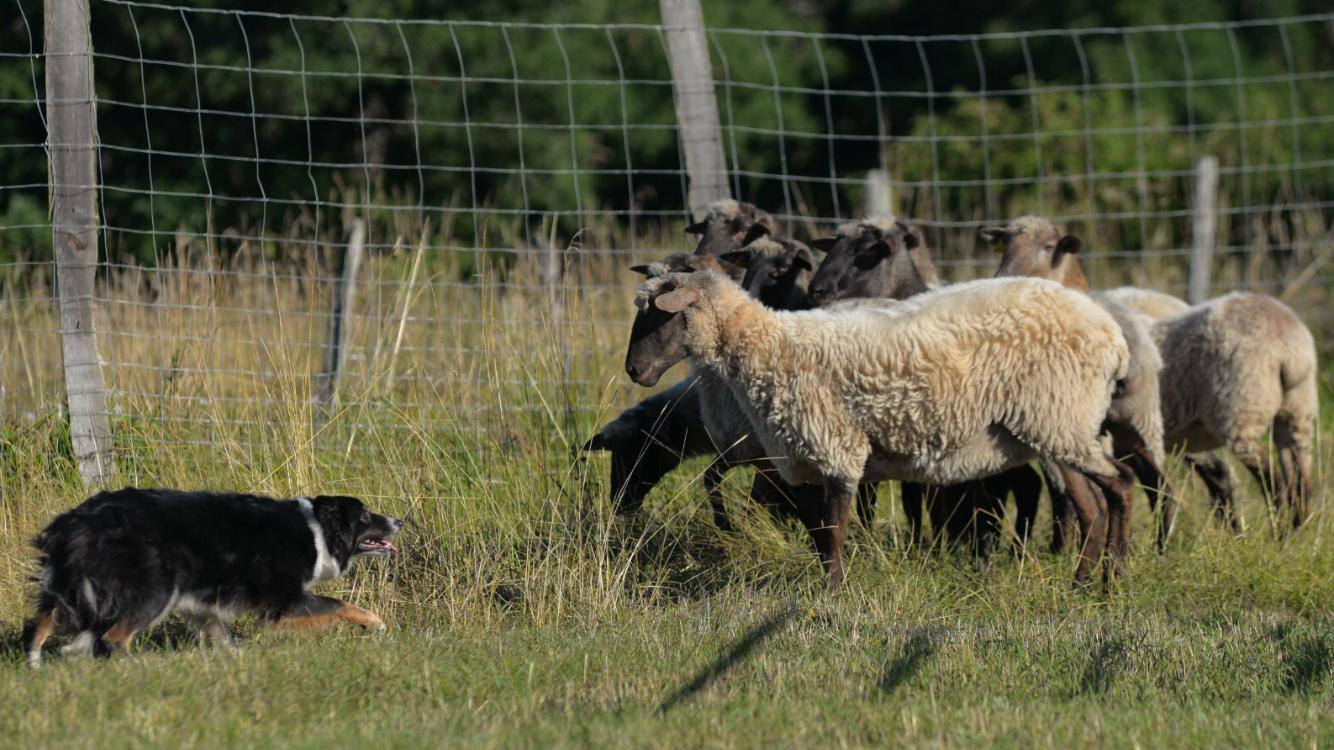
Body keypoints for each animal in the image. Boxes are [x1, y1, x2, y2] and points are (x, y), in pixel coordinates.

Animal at [20, 485, 402, 664]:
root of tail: (78, 520)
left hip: (77, 587)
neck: (317, 530)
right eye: (365, 516)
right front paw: (377, 624)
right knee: (115, 636)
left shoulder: (203, 603)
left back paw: (34, 667)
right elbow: (339, 604)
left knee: (42, 622)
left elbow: (223, 636)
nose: (399, 520)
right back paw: (137, 667)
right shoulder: (284, 601)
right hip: (155, 589)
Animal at [624, 269, 1136, 589]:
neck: (765, 348)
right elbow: (819, 536)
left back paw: (1111, 577)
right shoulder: (804, 460)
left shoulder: (834, 446)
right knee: (1094, 504)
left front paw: (832, 597)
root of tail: (1113, 337)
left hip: (1059, 417)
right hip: (1060, 425)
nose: (633, 370)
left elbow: (833, 533)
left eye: (658, 315)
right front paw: (827, 588)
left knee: (1120, 486)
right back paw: (1089, 582)